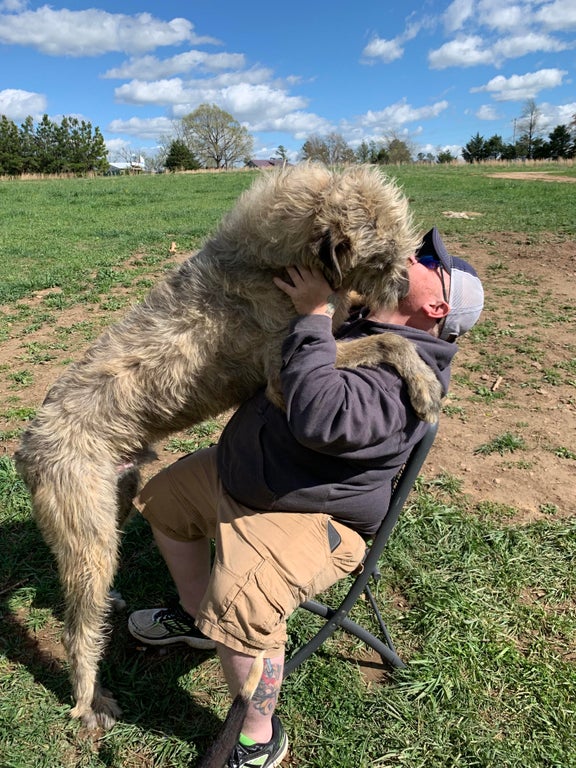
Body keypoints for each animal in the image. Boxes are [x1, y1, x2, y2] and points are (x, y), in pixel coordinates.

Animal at [14, 164, 440, 732]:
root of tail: (27, 446)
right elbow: (389, 342)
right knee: (75, 631)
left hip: (116, 502)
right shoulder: (283, 378)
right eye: (383, 255)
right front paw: (423, 379)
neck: (270, 261)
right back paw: (91, 702)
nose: (405, 287)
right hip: (88, 538)